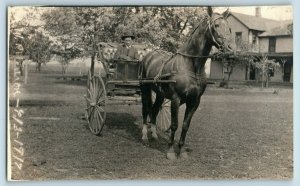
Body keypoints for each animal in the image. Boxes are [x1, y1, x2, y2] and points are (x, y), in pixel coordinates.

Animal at [139, 6, 233, 159]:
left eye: (229, 27)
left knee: (154, 110)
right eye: (216, 25)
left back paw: (154, 135)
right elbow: (174, 125)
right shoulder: (175, 99)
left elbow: (185, 125)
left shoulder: (194, 101)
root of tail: (148, 55)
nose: (231, 48)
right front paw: (171, 151)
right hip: (145, 89)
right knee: (146, 110)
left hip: (160, 94)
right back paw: (145, 137)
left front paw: (182, 151)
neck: (191, 65)